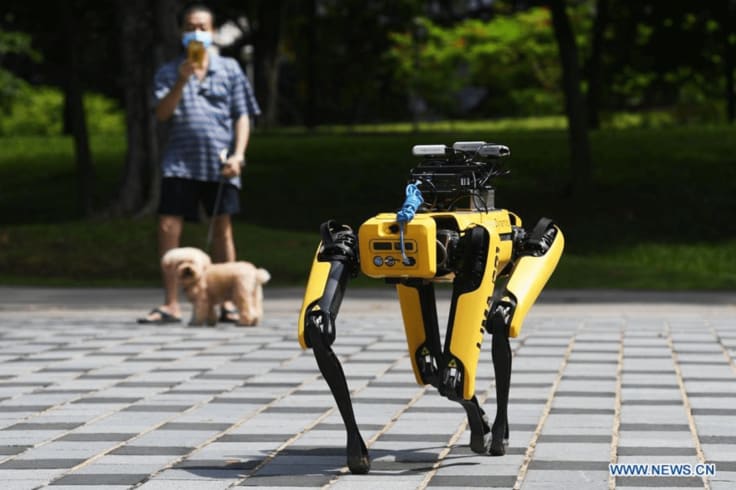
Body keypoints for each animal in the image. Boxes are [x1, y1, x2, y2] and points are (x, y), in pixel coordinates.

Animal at [296, 142, 560, 474]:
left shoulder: (481, 244)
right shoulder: (356, 247)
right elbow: (321, 310)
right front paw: (357, 454)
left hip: (518, 247)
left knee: (504, 311)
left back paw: (494, 433)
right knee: (428, 363)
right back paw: (481, 426)